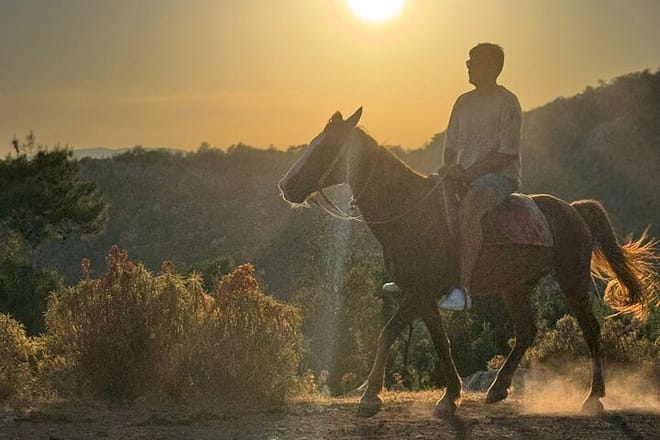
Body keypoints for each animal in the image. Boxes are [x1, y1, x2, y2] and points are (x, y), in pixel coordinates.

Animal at [278, 107, 658, 418]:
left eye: (326, 147)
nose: (285, 186)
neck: (412, 211)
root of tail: (574, 209)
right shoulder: (422, 295)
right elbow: (439, 341)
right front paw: (450, 396)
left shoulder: (420, 291)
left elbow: (388, 333)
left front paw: (371, 398)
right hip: (516, 286)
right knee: (526, 331)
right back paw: (498, 388)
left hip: (572, 278)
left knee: (590, 329)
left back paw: (594, 397)